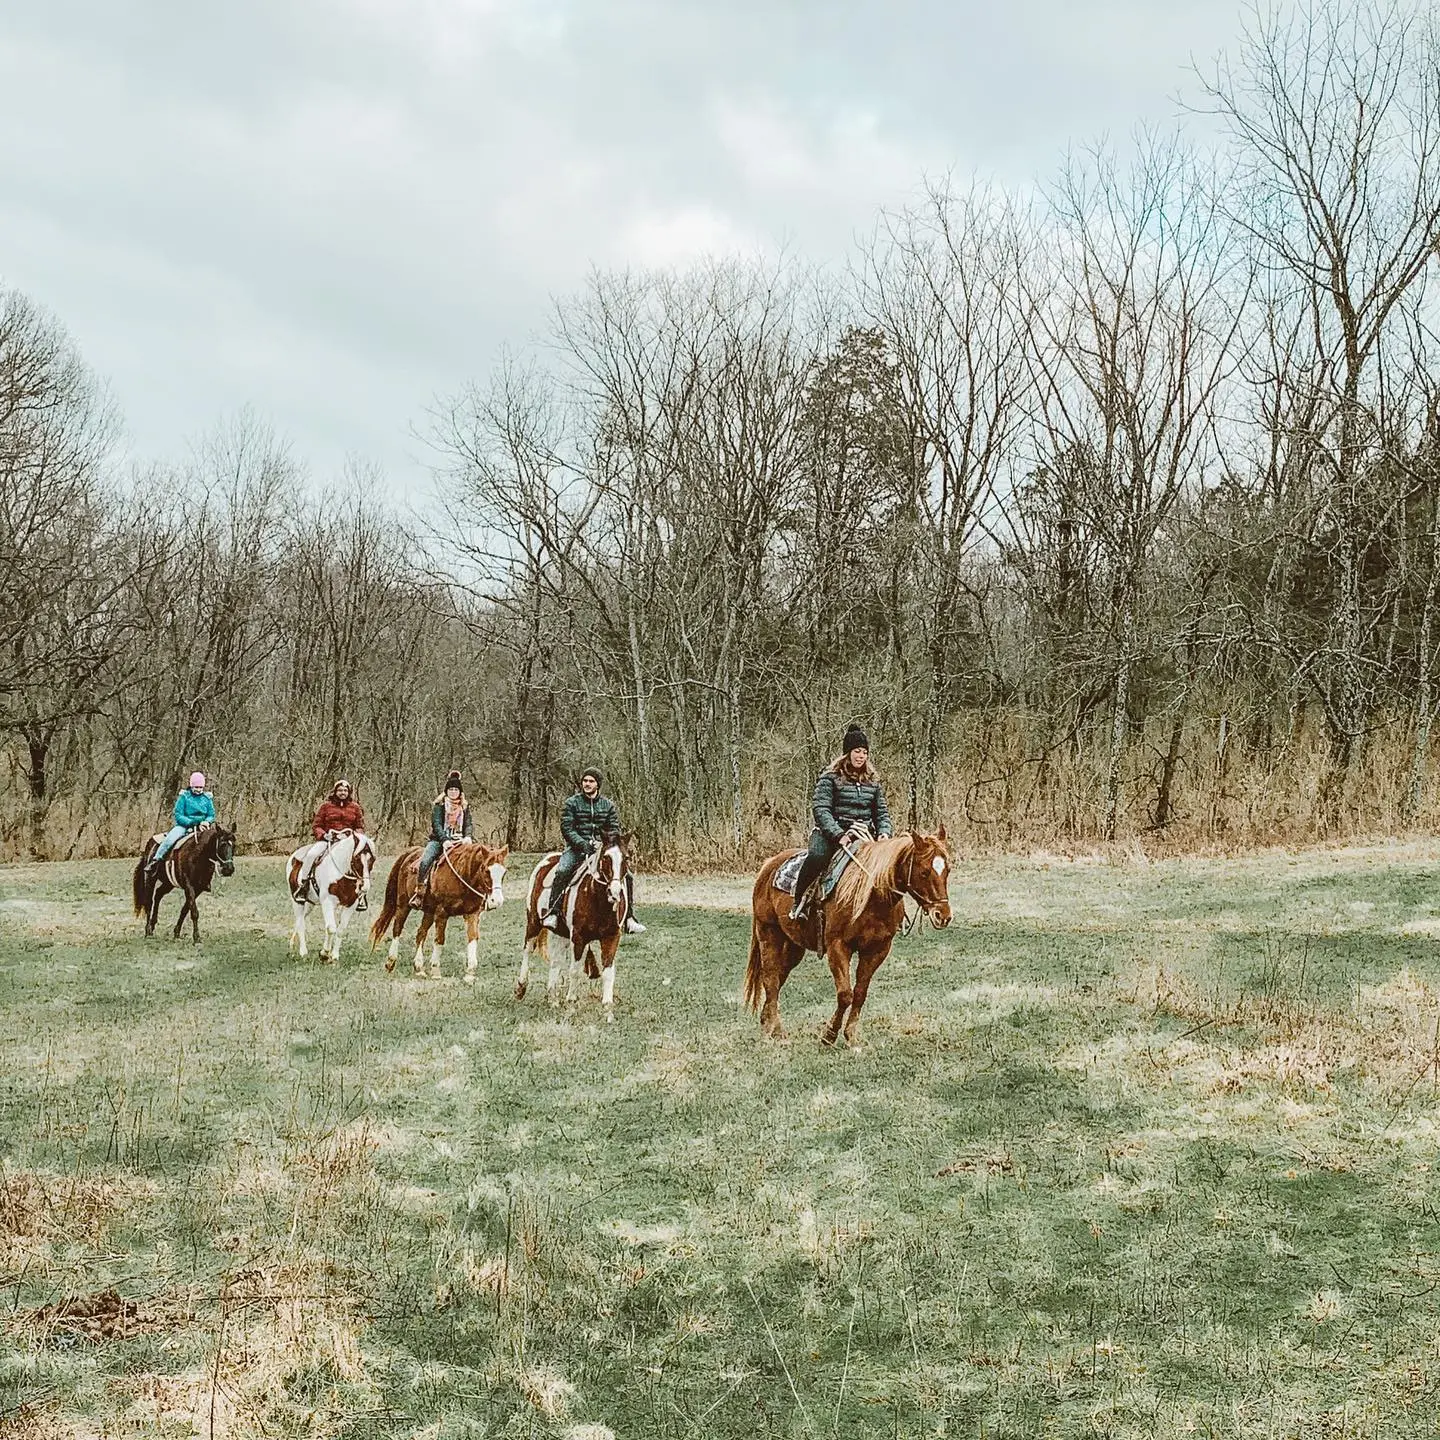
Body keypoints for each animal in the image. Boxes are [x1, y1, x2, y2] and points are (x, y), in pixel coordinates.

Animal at [288, 829, 375, 965]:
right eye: (356, 858)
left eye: (373, 859)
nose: (365, 886)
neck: (341, 874)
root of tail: (294, 856)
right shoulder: (328, 902)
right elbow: (331, 928)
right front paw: (324, 954)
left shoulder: (350, 905)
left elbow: (340, 930)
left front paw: (334, 956)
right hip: (297, 901)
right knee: (301, 923)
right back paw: (303, 952)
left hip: (310, 904)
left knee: (299, 920)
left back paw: (292, 944)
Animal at [368, 839, 508, 983]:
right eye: (486, 870)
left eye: (504, 872)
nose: (496, 901)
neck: (462, 875)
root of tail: (410, 853)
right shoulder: (442, 913)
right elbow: (440, 939)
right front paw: (435, 970)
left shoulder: (472, 914)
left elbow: (473, 938)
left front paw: (470, 973)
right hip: (403, 905)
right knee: (397, 929)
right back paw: (390, 962)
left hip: (429, 912)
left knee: (421, 933)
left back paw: (419, 968)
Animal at [515, 834, 634, 1021]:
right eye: (605, 858)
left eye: (626, 858)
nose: (614, 893)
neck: (597, 900)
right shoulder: (578, 938)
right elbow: (575, 970)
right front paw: (571, 1004)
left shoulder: (611, 937)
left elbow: (608, 973)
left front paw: (608, 1010)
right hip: (533, 922)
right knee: (528, 950)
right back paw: (521, 987)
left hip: (561, 933)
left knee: (556, 961)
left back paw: (553, 998)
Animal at [744, 827, 953, 1045]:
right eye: (924, 872)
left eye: (947, 870)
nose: (943, 915)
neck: (871, 896)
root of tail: (769, 865)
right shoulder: (838, 947)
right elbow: (845, 994)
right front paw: (829, 1034)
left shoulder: (877, 950)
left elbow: (860, 993)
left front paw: (851, 1035)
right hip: (769, 933)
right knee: (770, 978)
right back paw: (776, 1030)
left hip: (794, 945)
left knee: (779, 977)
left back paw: (766, 1023)